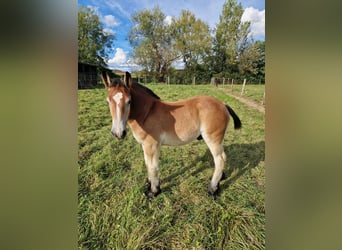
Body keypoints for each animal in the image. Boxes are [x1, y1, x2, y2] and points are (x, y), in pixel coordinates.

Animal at [100, 71, 242, 198]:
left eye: (129, 101)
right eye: (107, 101)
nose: (118, 133)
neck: (147, 113)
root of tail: (223, 104)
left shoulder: (152, 145)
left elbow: (153, 167)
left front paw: (154, 191)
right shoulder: (144, 145)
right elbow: (147, 164)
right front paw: (149, 184)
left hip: (212, 139)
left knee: (219, 160)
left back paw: (213, 190)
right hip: (218, 140)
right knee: (223, 156)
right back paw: (221, 179)